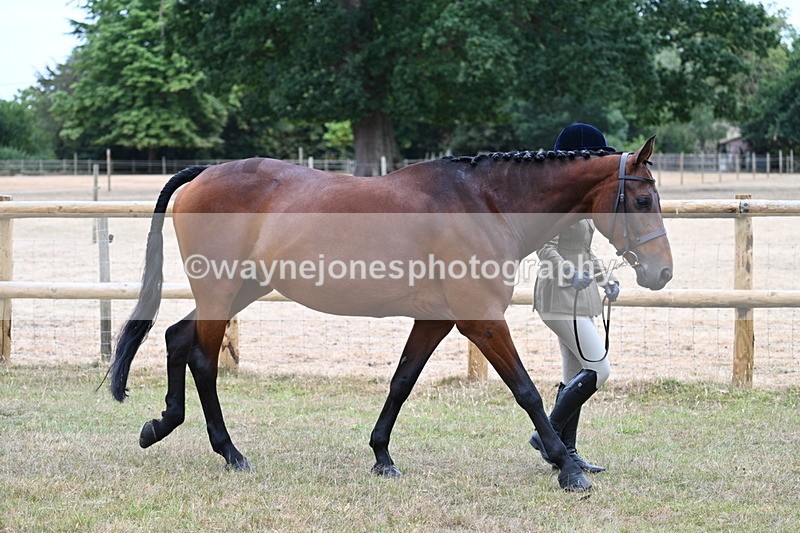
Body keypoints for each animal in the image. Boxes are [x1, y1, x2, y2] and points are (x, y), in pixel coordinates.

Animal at [109, 136, 672, 492]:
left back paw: (160, 425)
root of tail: (204, 173)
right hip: (222, 292)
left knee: (177, 338)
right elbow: (527, 390)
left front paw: (382, 456)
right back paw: (230, 453)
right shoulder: (482, 320)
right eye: (644, 200)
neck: (485, 203)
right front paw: (565, 467)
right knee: (203, 361)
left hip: (237, 290)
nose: (662, 273)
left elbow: (401, 382)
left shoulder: (436, 320)